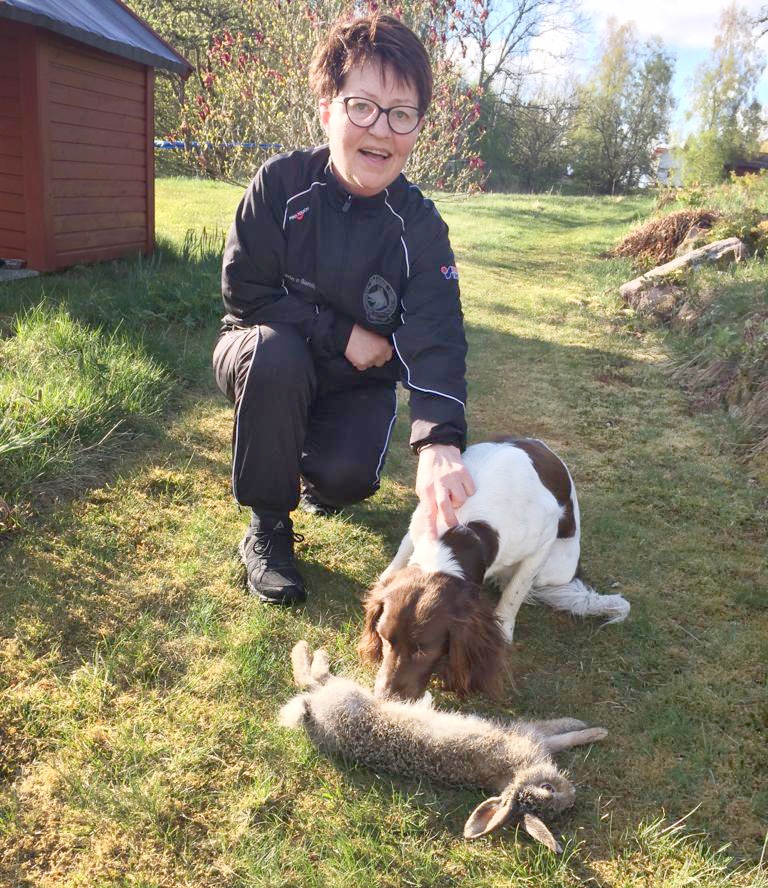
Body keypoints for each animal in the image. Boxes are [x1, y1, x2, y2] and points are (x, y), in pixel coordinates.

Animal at [279, 641, 608, 850]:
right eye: (548, 789)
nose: (572, 794)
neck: (515, 773)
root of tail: (313, 715)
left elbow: (557, 738)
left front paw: (590, 730)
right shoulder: (526, 735)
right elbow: (559, 734)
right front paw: (593, 730)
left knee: (311, 681)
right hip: (350, 694)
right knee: (316, 677)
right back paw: (310, 650)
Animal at [359, 438, 630, 700]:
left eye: (423, 649)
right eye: (384, 638)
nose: (383, 697)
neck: (462, 530)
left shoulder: (542, 543)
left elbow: (514, 594)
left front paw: (504, 629)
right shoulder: (419, 523)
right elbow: (399, 558)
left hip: (557, 568)